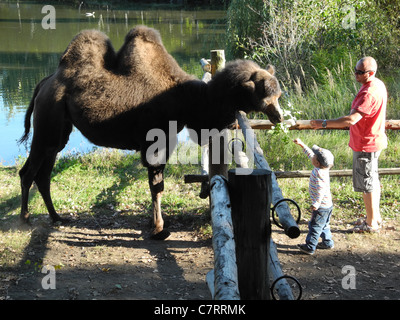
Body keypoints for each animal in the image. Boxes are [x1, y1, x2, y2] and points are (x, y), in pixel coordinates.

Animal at [18, 25, 284, 239]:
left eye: (278, 94)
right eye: (264, 94)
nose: (279, 116)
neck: (189, 100)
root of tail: (44, 83)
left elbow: (156, 185)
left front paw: (153, 223)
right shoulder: (157, 142)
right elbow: (157, 186)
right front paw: (158, 229)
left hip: (58, 133)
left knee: (43, 174)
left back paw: (56, 217)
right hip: (47, 124)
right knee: (28, 171)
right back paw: (25, 219)